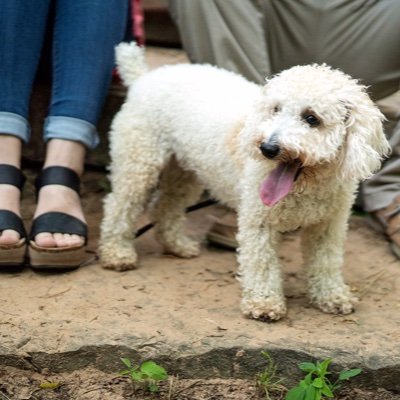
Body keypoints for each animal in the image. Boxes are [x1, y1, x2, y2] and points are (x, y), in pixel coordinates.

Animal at [100, 41, 390, 322]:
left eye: (312, 118)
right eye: (275, 109)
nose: (268, 148)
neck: (306, 187)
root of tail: (145, 77)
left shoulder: (328, 224)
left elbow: (326, 261)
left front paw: (332, 296)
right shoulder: (259, 219)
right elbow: (262, 263)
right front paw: (264, 304)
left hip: (185, 171)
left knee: (166, 206)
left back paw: (177, 245)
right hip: (139, 162)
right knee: (120, 205)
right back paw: (117, 253)